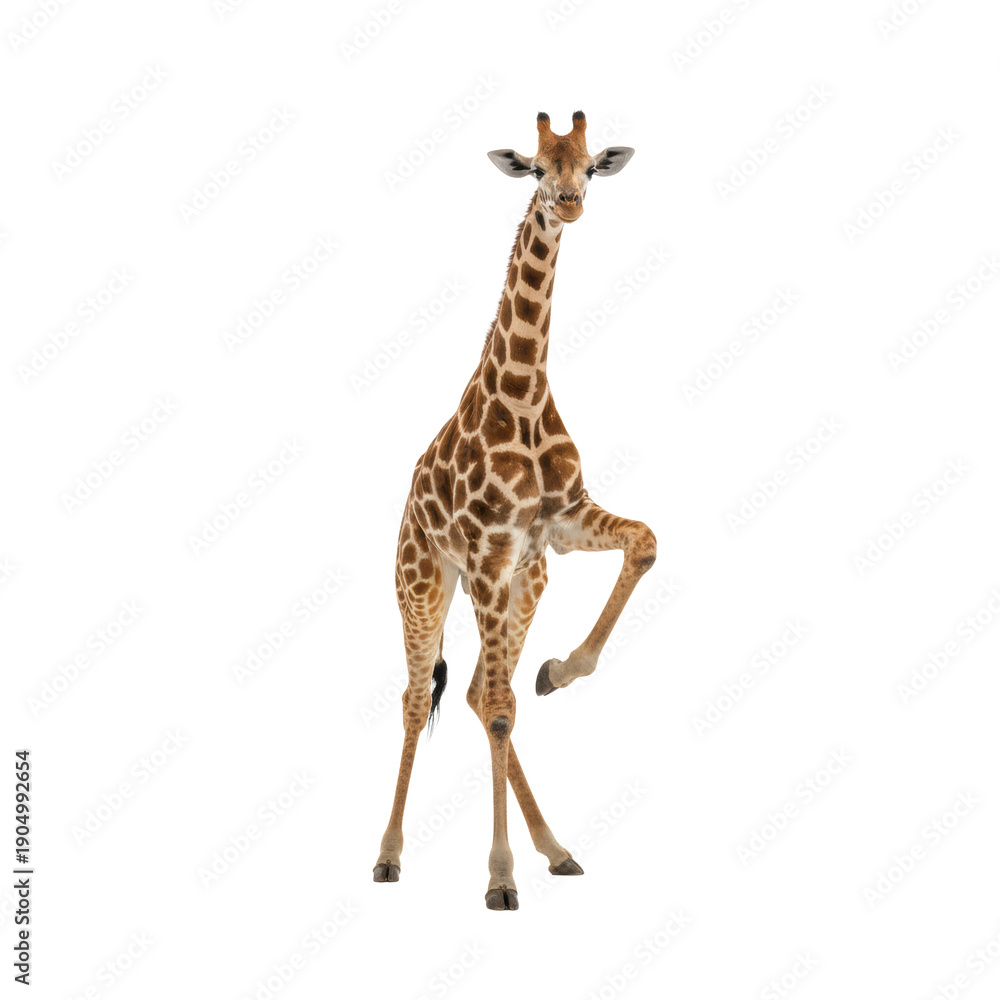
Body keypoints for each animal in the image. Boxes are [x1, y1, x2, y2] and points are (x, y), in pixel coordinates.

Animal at [373, 111, 657, 910]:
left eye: (588, 166)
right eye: (534, 168)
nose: (569, 204)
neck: (524, 397)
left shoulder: (554, 530)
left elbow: (645, 541)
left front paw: (561, 670)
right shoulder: (488, 555)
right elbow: (498, 709)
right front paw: (498, 879)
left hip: (526, 586)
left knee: (473, 692)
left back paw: (557, 849)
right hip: (425, 583)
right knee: (418, 698)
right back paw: (388, 857)